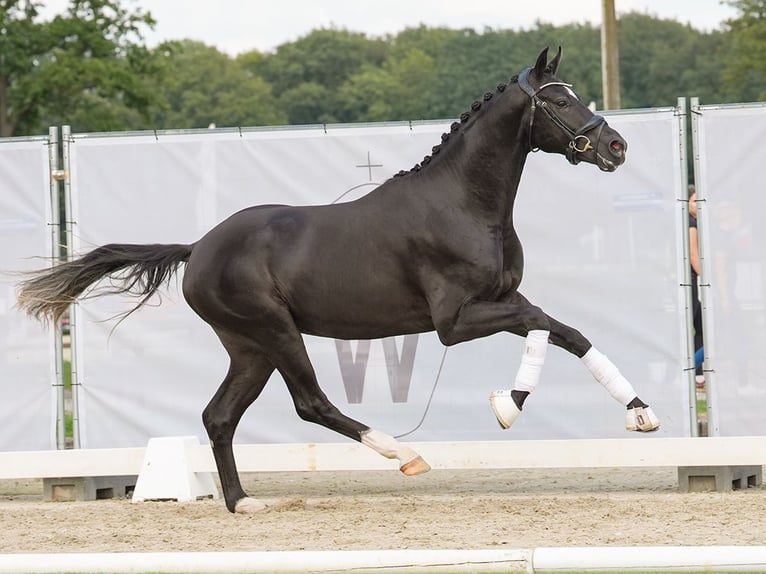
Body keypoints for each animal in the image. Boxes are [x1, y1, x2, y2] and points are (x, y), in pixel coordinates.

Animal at [16, 49, 660, 516]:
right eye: (557, 99)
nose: (616, 146)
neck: (464, 203)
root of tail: (199, 249)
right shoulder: (455, 321)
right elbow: (541, 326)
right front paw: (508, 406)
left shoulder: (501, 299)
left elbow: (566, 332)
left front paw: (640, 414)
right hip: (276, 333)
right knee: (310, 403)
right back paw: (405, 454)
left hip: (250, 348)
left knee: (219, 417)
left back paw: (242, 502)